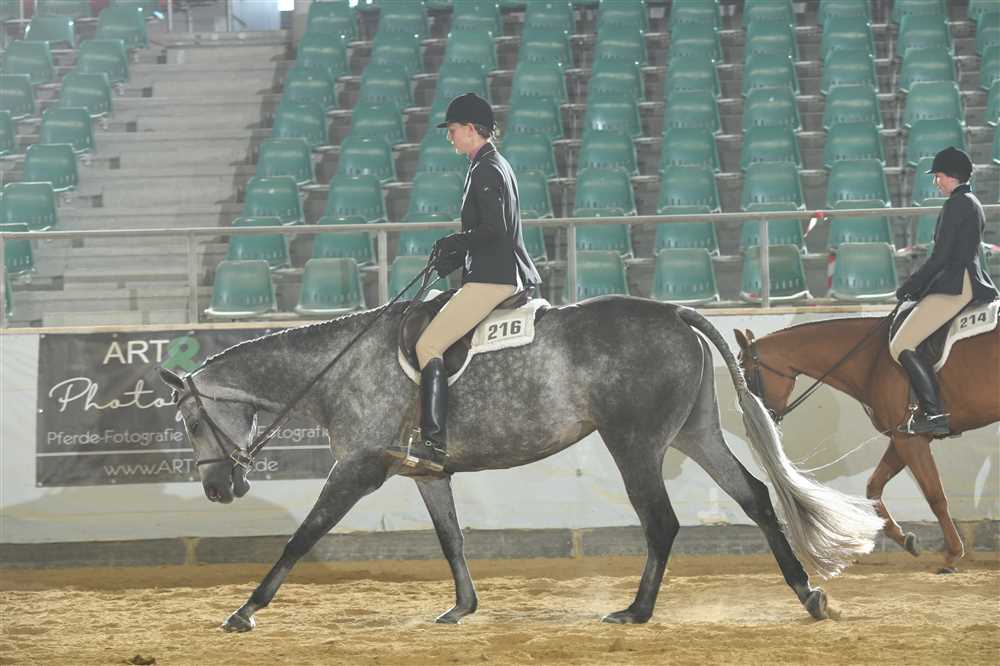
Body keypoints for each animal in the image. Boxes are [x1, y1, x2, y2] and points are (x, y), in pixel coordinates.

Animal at [159, 295, 883, 632]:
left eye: (191, 421)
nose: (218, 488)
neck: (340, 369)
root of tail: (673, 312)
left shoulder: (357, 468)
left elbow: (301, 538)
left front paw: (244, 611)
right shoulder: (428, 472)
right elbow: (450, 537)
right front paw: (462, 608)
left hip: (634, 441)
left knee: (662, 521)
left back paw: (636, 612)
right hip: (694, 433)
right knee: (756, 497)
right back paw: (809, 595)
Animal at [735, 317, 1000, 573]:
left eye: (746, 375)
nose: (752, 427)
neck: (872, 359)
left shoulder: (910, 440)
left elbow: (935, 496)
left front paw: (953, 555)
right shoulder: (902, 438)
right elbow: (874, 487)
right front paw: (905, 539)